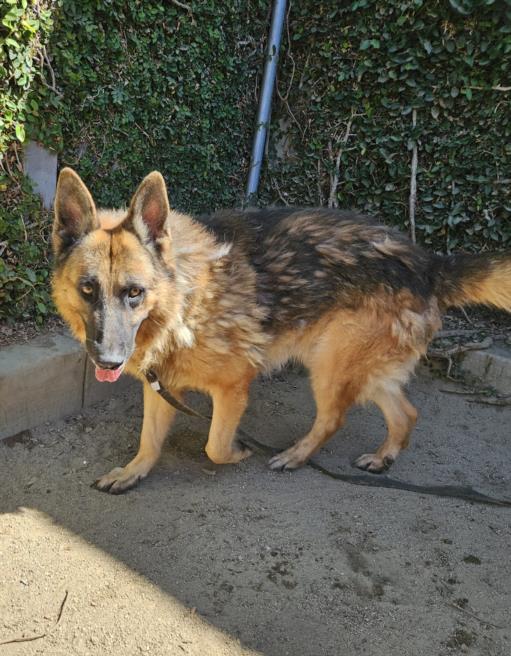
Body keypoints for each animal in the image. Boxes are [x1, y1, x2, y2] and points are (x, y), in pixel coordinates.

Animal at [52, 169, 511, 492]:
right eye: (88, 289)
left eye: (134, 293)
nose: (108, 360)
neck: (184, 298)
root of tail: (430, 263)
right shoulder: (162, 387)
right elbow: (149, 440)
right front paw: (134, 472)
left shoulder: (233, 388)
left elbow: (214, 446)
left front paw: (238, 452)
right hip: (358, 368)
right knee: (406, 413)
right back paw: (383, 458)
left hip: (329, 368)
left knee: (333, 419)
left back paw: (296, 455)